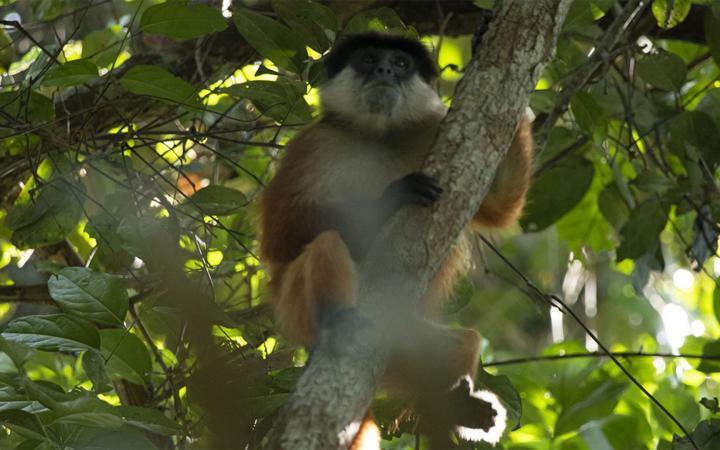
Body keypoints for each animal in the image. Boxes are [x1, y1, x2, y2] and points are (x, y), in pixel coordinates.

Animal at [256, 32, 532, 446]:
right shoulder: (313, 144)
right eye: (369, 59)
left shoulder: (430, 129)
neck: (379, 138)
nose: (385, 70)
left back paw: (450, 407)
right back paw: (337, 323)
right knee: (327, 242)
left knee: (465, 341)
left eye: (401, 63)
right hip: (296, 310)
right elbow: (278, 234)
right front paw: (392, 197)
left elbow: (499, 208)